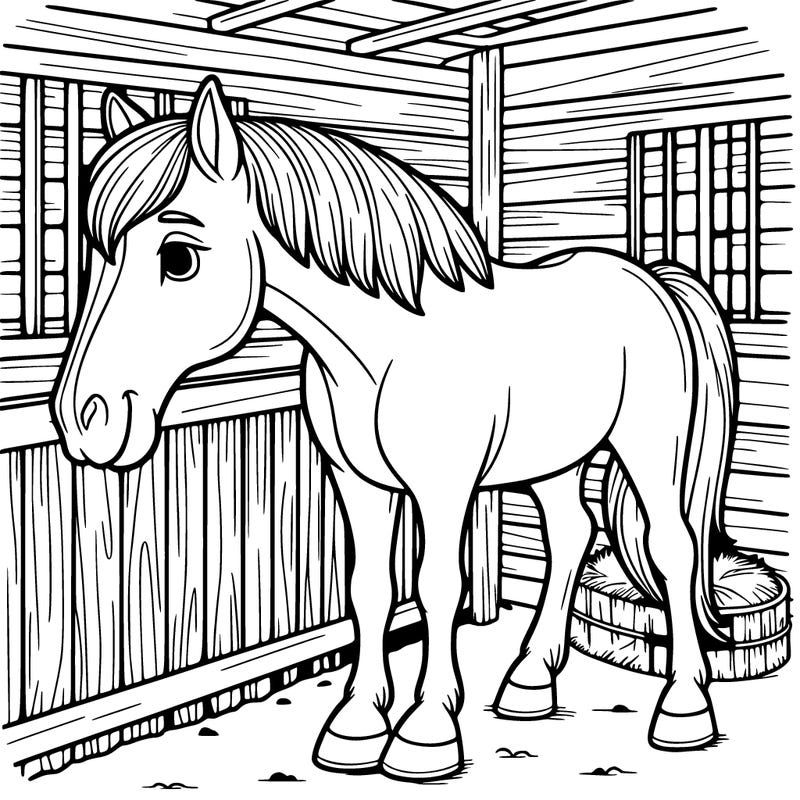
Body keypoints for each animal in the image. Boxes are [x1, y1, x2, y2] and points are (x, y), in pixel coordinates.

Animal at [53, 76, 736, 782]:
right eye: (93, 255)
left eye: (179, 257)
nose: (87, 418)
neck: (382, 350)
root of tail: (652, 278)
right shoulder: (358, 483)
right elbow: (370, 589)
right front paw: (355, 724)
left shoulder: (443, 489)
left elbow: (437, 587)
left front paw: (426, 730)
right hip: (555, 458)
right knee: (572, 535)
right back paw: (528, 683)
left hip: (651, 452)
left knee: (674, 549)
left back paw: (684, 709)